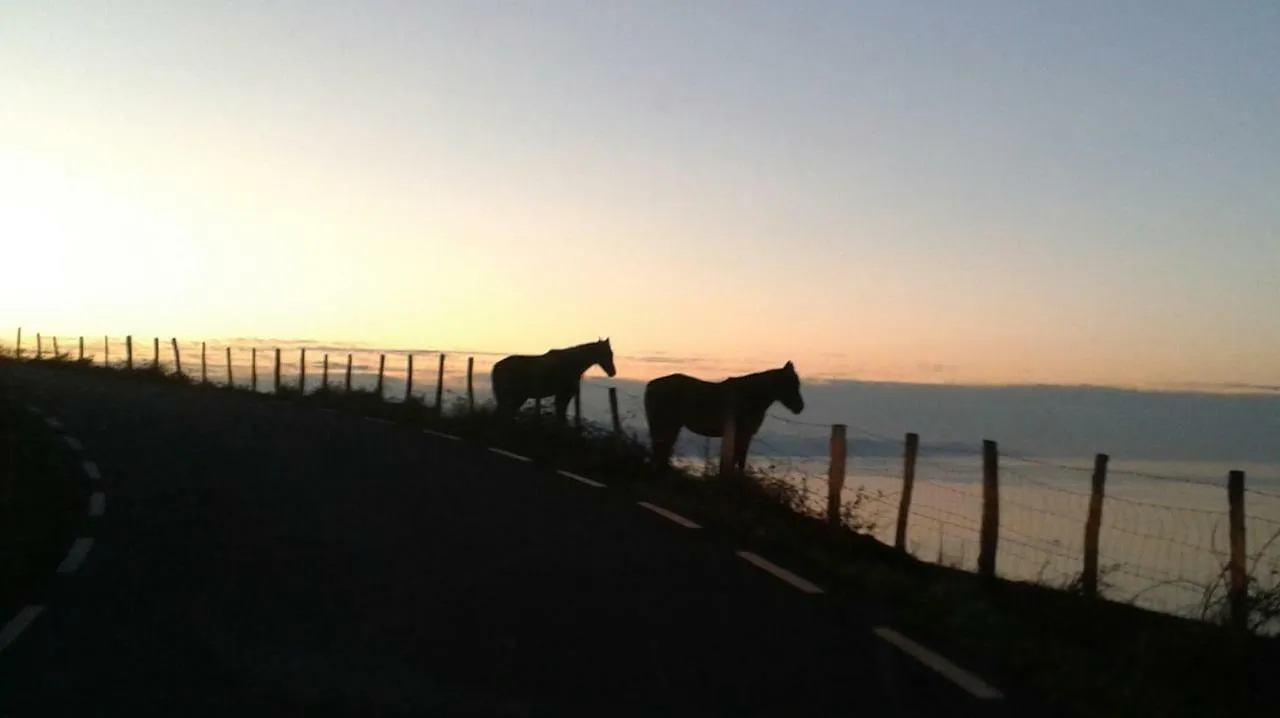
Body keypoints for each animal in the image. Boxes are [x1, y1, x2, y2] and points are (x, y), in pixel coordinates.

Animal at [486, 337, 616, 424]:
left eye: (611, 353)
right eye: (606, 353)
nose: (613, 372)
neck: (571, 363)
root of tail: (496, 366)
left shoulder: (565, 395)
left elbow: (561, 416)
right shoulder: (563, 395)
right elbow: (561, 416)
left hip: (517, 398)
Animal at [645, 360, 803, 473]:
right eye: (790, 384)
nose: (800, 407)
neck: (749, 397)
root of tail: (651, 384)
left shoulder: (743, 436)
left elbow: (739, 459)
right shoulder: (742, 434)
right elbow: (738, 459)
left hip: (670, 426)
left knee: (663, 448)